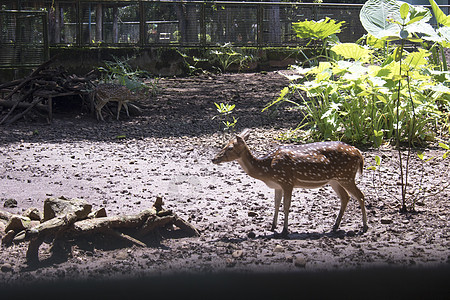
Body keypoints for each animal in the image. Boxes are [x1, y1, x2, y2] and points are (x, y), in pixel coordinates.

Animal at [213, 129, 368, 237]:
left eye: (230, 148)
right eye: (224, 145)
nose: (214, 159)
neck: (267, 169)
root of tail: (359, 153)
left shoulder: (287, 181)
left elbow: (286, 206)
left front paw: (285, 230)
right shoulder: (278, 185)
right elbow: (276, 204)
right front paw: (273, 226)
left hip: (346, 176)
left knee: (360, 195)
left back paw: (364, 226)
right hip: (335, 179)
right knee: (345, 197)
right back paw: (335, 226)